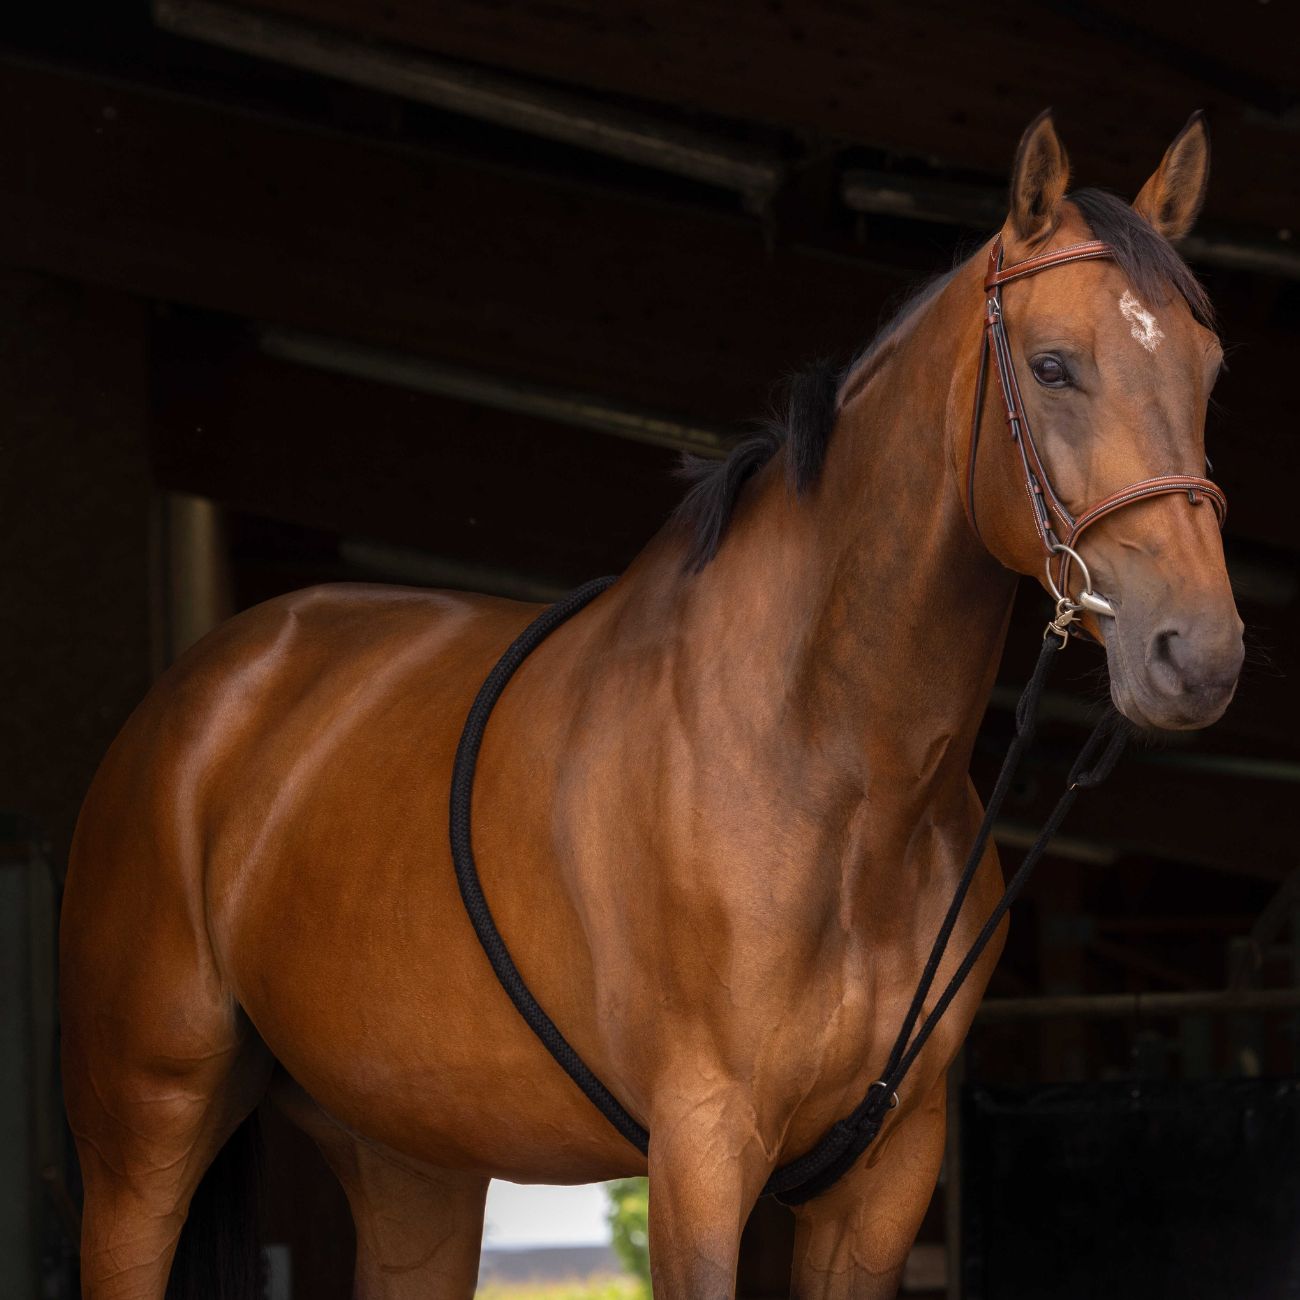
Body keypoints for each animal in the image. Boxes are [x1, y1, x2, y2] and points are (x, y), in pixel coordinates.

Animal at [61, 109, 1243, 1300]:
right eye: (1052, 367)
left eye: (1209, 370)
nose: (1198, 654)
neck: (832, 770)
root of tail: (203, 691)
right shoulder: (701, 1149)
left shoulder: (884, 1176)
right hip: (146, 1127)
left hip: (408, 1160)